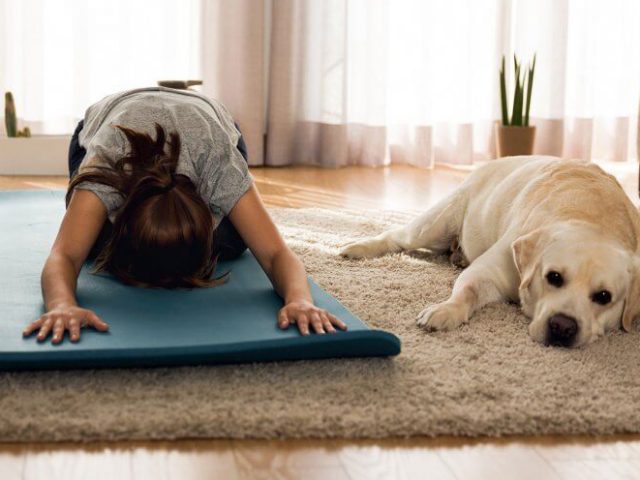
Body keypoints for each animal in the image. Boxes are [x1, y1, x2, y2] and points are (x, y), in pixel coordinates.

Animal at [340, 158, 640, 348]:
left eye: (604, 297)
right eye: (553, 277)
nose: (562, 327)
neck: (591, 217)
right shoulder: (489, 270)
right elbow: (467, 291)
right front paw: (445, 310)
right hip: (434, 226)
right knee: (396, 236)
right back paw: (356, 248)